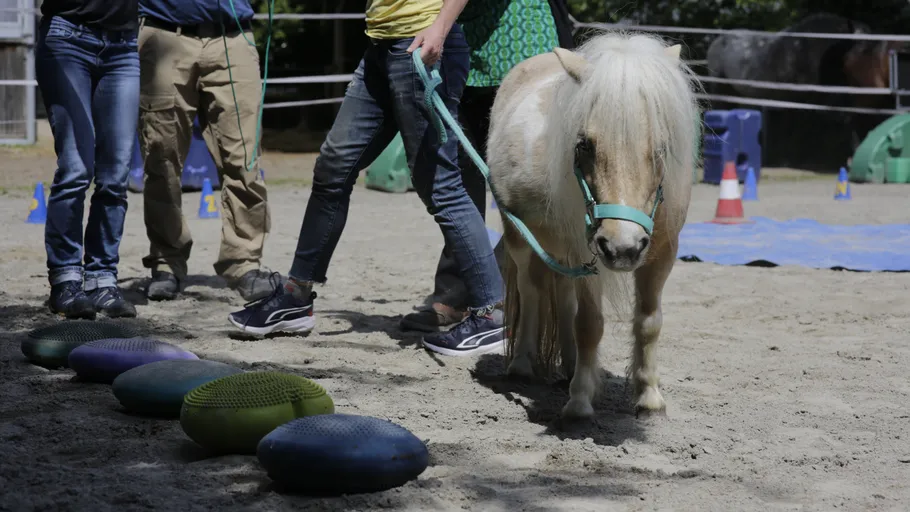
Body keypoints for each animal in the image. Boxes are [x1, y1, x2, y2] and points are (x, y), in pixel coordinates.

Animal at [485, 32, 700, 420]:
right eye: (584, 145)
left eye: (661, 147)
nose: (622, 248)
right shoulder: (587, 255)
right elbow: (589, 324)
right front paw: (580, 402)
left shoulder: (662, 253)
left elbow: (649, 322)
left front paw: (649, 397)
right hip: (522, 240)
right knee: (531, 290)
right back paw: (523, 364)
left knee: (562, 299)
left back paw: (569, 366)